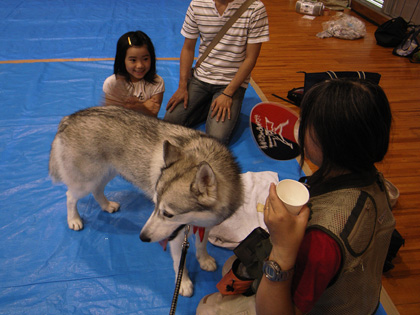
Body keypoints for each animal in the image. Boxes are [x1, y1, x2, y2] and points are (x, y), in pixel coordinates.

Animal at [48, 106, 243, 296]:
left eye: (168, 214)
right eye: (155, 206)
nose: (142, 237)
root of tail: (69, 118)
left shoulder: (206, 225)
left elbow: (202, 245)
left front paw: (204, 260)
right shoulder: (177, 237)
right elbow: (179, 261)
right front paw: (183, 283)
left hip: (108, 172)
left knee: (97, 190)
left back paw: (107, 205)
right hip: (86, 181)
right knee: (70, 196)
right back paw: (74, 220)